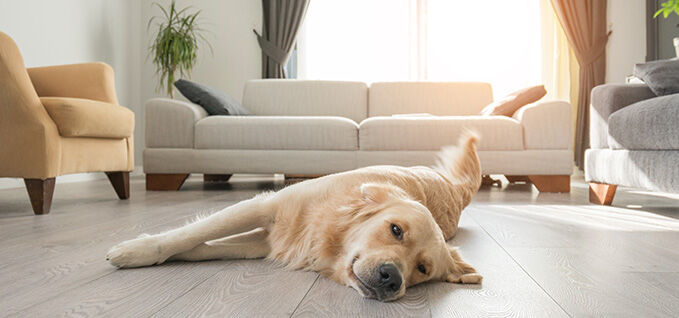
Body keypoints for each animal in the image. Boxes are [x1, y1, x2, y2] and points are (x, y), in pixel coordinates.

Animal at [106, 133, 484, 302]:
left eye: (422, 269)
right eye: (395, 230)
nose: (392, 278)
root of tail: (454, 188)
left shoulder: (263, 243)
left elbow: (203, 246)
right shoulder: (265, 207)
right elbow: (191, 234)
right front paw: (136, 250)